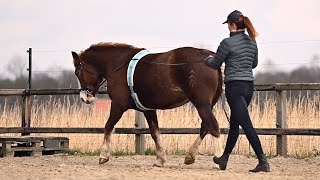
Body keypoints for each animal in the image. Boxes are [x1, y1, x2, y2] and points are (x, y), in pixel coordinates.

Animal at [72, 43, 222, 167]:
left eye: (78, 72)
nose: (84, 98)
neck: (118, 65)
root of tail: (210, 57)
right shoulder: (148, 109)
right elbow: (155, 132)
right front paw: (160, 159)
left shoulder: (118, 105)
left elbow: (108, 126)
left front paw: (103, 155)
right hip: (208, 104)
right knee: (205, 126)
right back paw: (190, 156)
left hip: (201, 103)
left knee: (213, 125)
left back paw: (218, 160)